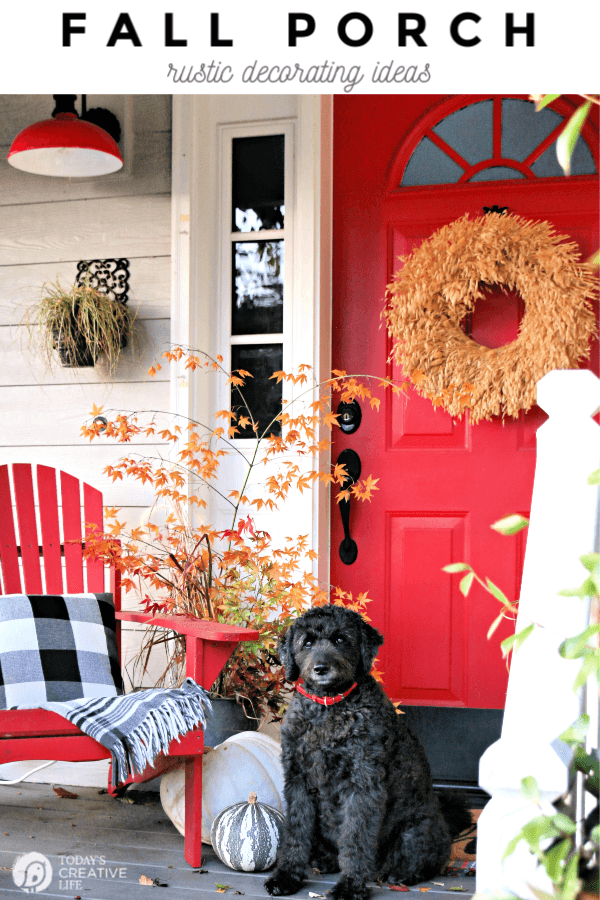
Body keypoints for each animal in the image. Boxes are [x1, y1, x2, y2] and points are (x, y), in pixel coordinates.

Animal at [264, 604, 472, 900]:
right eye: (307, 642)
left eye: (340, 639)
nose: (321, 668)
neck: (329, 709)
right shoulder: (298, 782)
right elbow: (296, 833)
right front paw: (286, 876)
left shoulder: (363, 785)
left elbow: (356, 837)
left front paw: (350, 886)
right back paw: (325, 860)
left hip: (414, 831)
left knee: (427, 860)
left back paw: (401, 873)